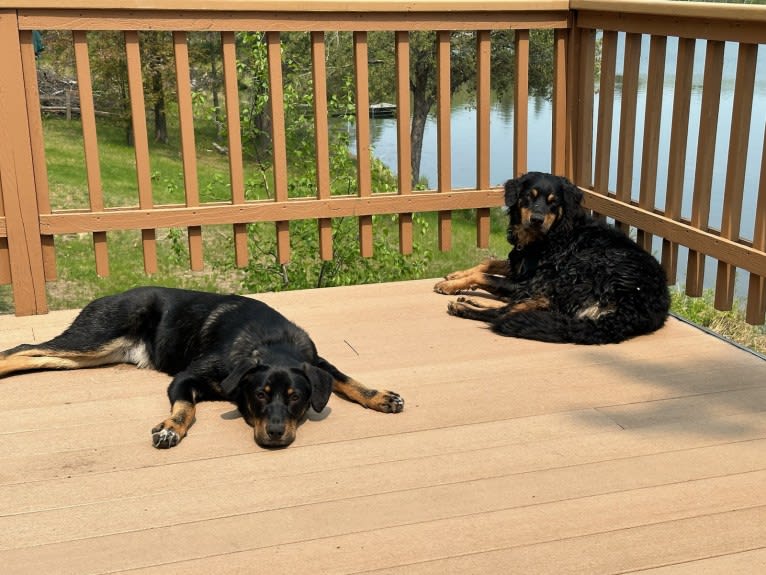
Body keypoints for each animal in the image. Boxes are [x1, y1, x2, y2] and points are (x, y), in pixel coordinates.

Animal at [0, 288, 404, 450]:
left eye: (295, 398)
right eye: (260, 396)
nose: (274, 434)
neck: (270, 344)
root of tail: (104, 297)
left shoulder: (316, 362)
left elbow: (345, 378)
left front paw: (381, 396)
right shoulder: (185, 378)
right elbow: (186, 408)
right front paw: (170, 429)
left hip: (94, 354)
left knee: (40, 356)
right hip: (95, 336)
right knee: (23, 349)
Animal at [438, 170, 672, 342]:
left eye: (553, 202)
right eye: (528, 197)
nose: (537, 219)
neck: (553, 234)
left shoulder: (528, 282)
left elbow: (485, 276)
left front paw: (451, 285)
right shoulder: (518, 265)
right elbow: (488, 263)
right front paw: (455, 276)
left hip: (572, 276)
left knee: (507, 313)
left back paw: (463, 307)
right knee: (516, 307)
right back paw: (472, 301)